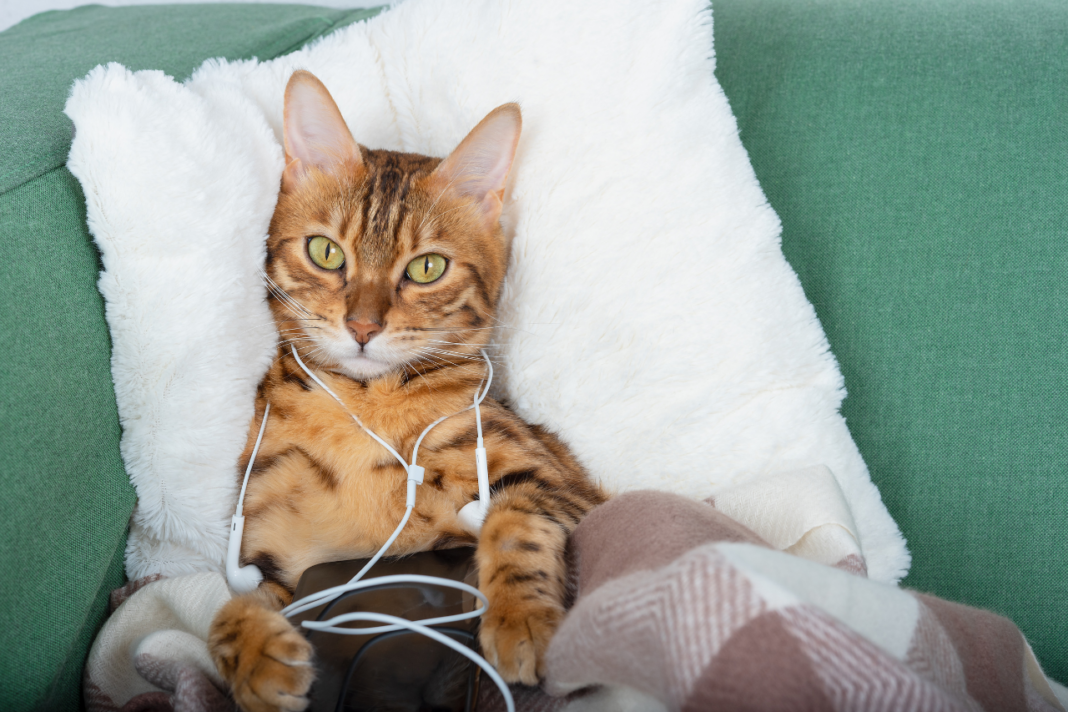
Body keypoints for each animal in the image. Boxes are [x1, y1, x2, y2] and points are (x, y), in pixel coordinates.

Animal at [206, 70, 610, 712]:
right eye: (325, 252)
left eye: (427, 268)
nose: (363, 327)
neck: (363, 401)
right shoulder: (272, 552)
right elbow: (223, 610)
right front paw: (256, 656)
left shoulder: (562, 483)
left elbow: (514, 520)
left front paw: (520, 618)